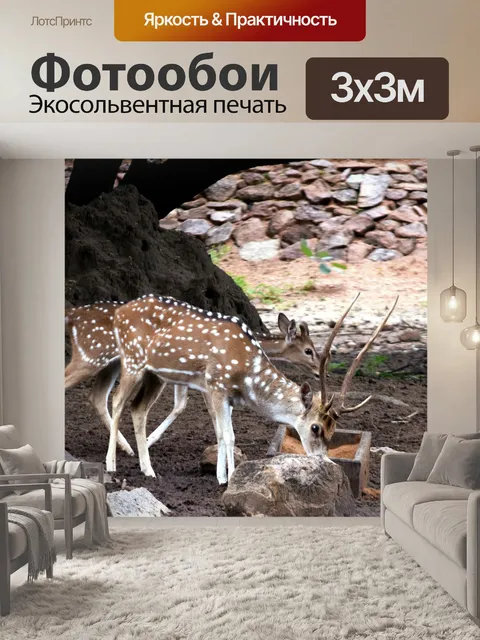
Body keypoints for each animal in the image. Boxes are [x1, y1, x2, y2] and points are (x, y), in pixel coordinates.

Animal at [65, 301, 321, 457]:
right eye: (308, 350)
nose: (319, 370)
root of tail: (72, 315)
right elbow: (194, 408)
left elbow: (183, 406)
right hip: (91, 357)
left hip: (110, 364)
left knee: (97, 397)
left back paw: (125, 447)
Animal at [105, 292, 398, 484]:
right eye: (315, 427)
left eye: (334, 429)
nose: (323, 460)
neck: (248, 376)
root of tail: (119, 312)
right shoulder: (216, 385)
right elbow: (229, 436)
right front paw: (229, 479)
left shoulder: (227, 398)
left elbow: (223, 434)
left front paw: (222, 476)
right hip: (133, 360)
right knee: (117, 401)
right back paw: (112, 464)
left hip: (154, 374)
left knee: (137, 408)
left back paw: (148, 469)